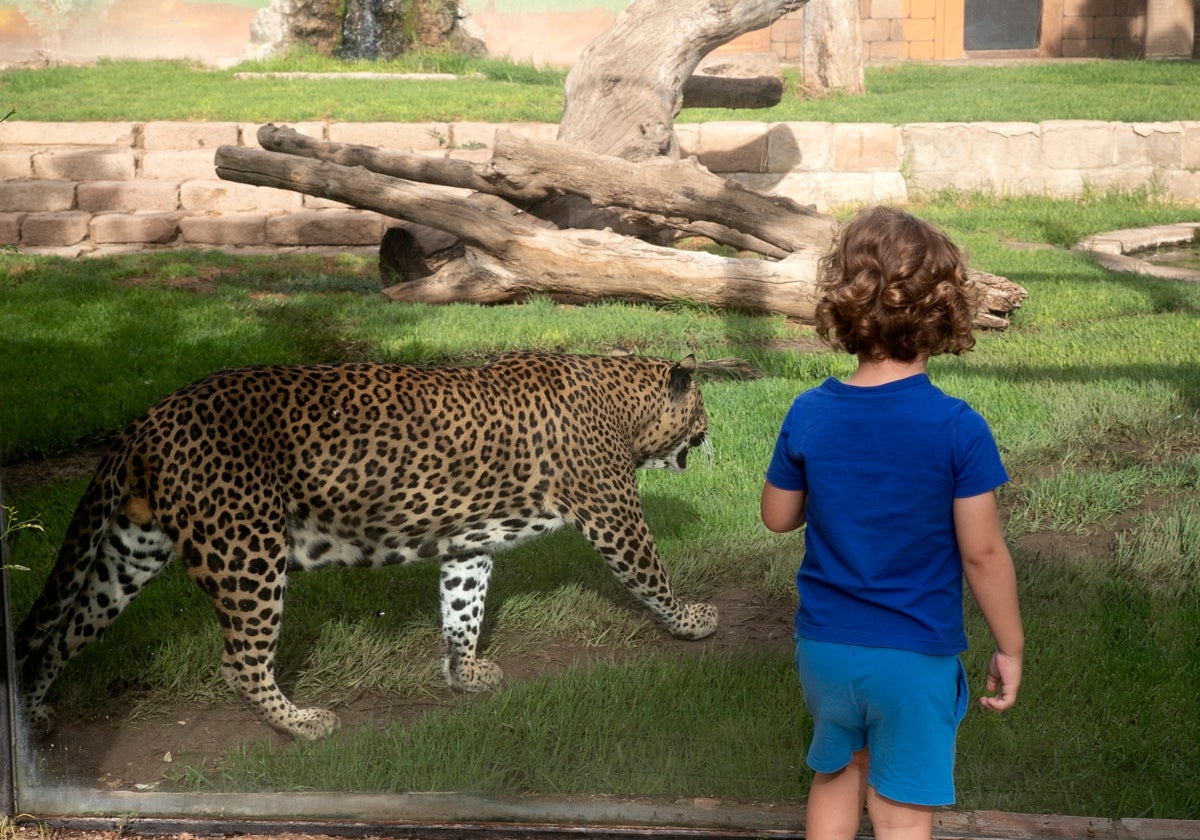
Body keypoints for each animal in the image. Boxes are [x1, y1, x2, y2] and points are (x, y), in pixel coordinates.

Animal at [16, 350, 720, 739]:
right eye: (702, 413)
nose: (710, 436)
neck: (622, 406)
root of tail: (147, 418)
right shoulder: (612, 512)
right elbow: (651, 572)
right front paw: (692, 620)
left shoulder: (467, 540)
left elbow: (463, 606)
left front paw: (464, 673)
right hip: (249, 551)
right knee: (239, 660)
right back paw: (301, 724)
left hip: (129, 552)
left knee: (60, 634)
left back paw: (33, 717)